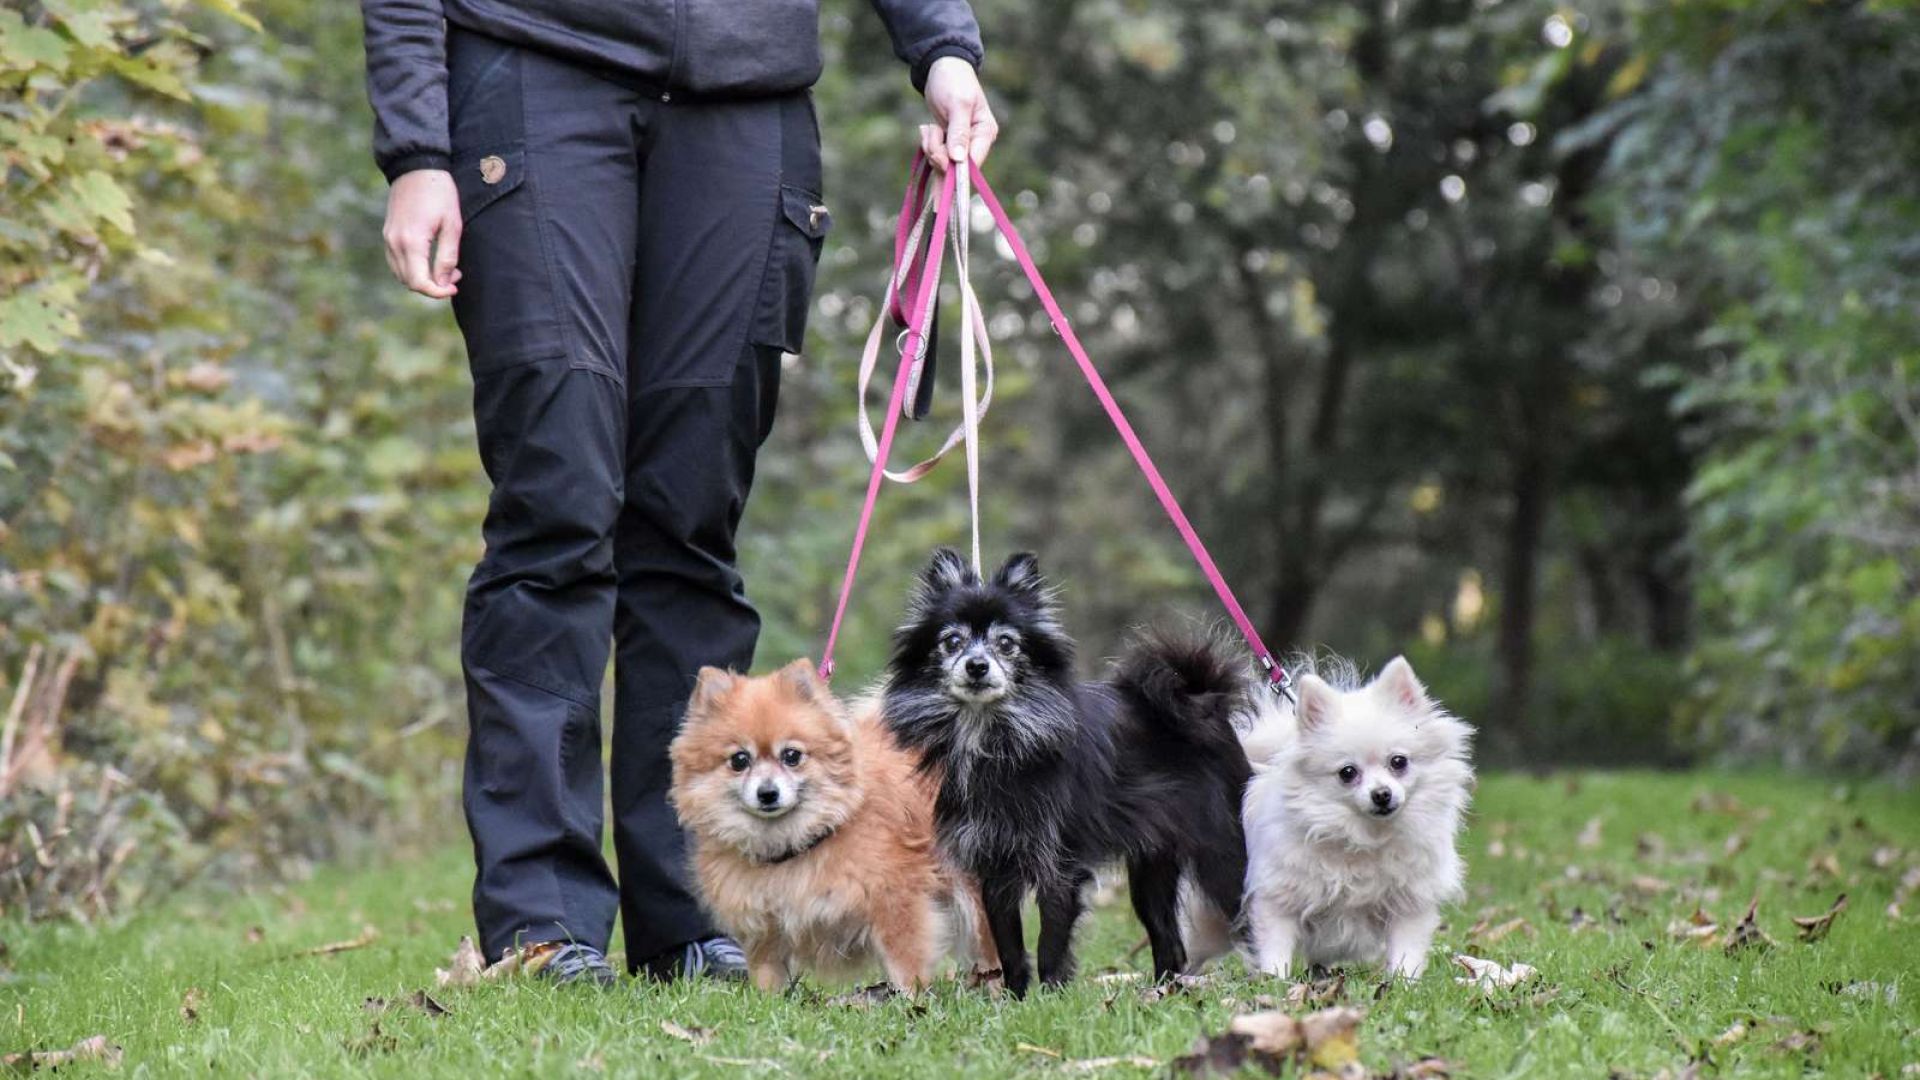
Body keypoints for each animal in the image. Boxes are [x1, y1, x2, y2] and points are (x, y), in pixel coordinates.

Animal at [668, 653, 998, 991]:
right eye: (739, 760)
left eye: (791, 756)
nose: (767, 793)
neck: (795, 843)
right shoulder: (764, 930)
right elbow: (768, 976)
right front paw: (767, 1000)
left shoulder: (897, 904)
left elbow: (905, 966)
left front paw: (909, 999)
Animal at [879, 545, 1251, 991]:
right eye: (952, 641)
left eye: (1006, 643)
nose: (977, 665)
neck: (993, 735)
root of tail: (1204, 702)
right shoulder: (996, 868)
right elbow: (1009, 946)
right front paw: (1017, 997)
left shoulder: (1059, 868)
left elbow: (1050, 943)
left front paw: (1052, 994)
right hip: (1152, 868)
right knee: (1169, 941)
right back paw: (1165, 991)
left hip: (1221, 854)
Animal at [1182, 657, 1466, 976]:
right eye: (1348, 773)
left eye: (1398, 762)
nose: (1381, 794)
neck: (1365, 836)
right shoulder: (1277, 899)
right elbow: (1275, 946)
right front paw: (1275, 979)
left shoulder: (1410, 905)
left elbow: (1406, 950)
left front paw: (1403, 981)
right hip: (1210, 925)